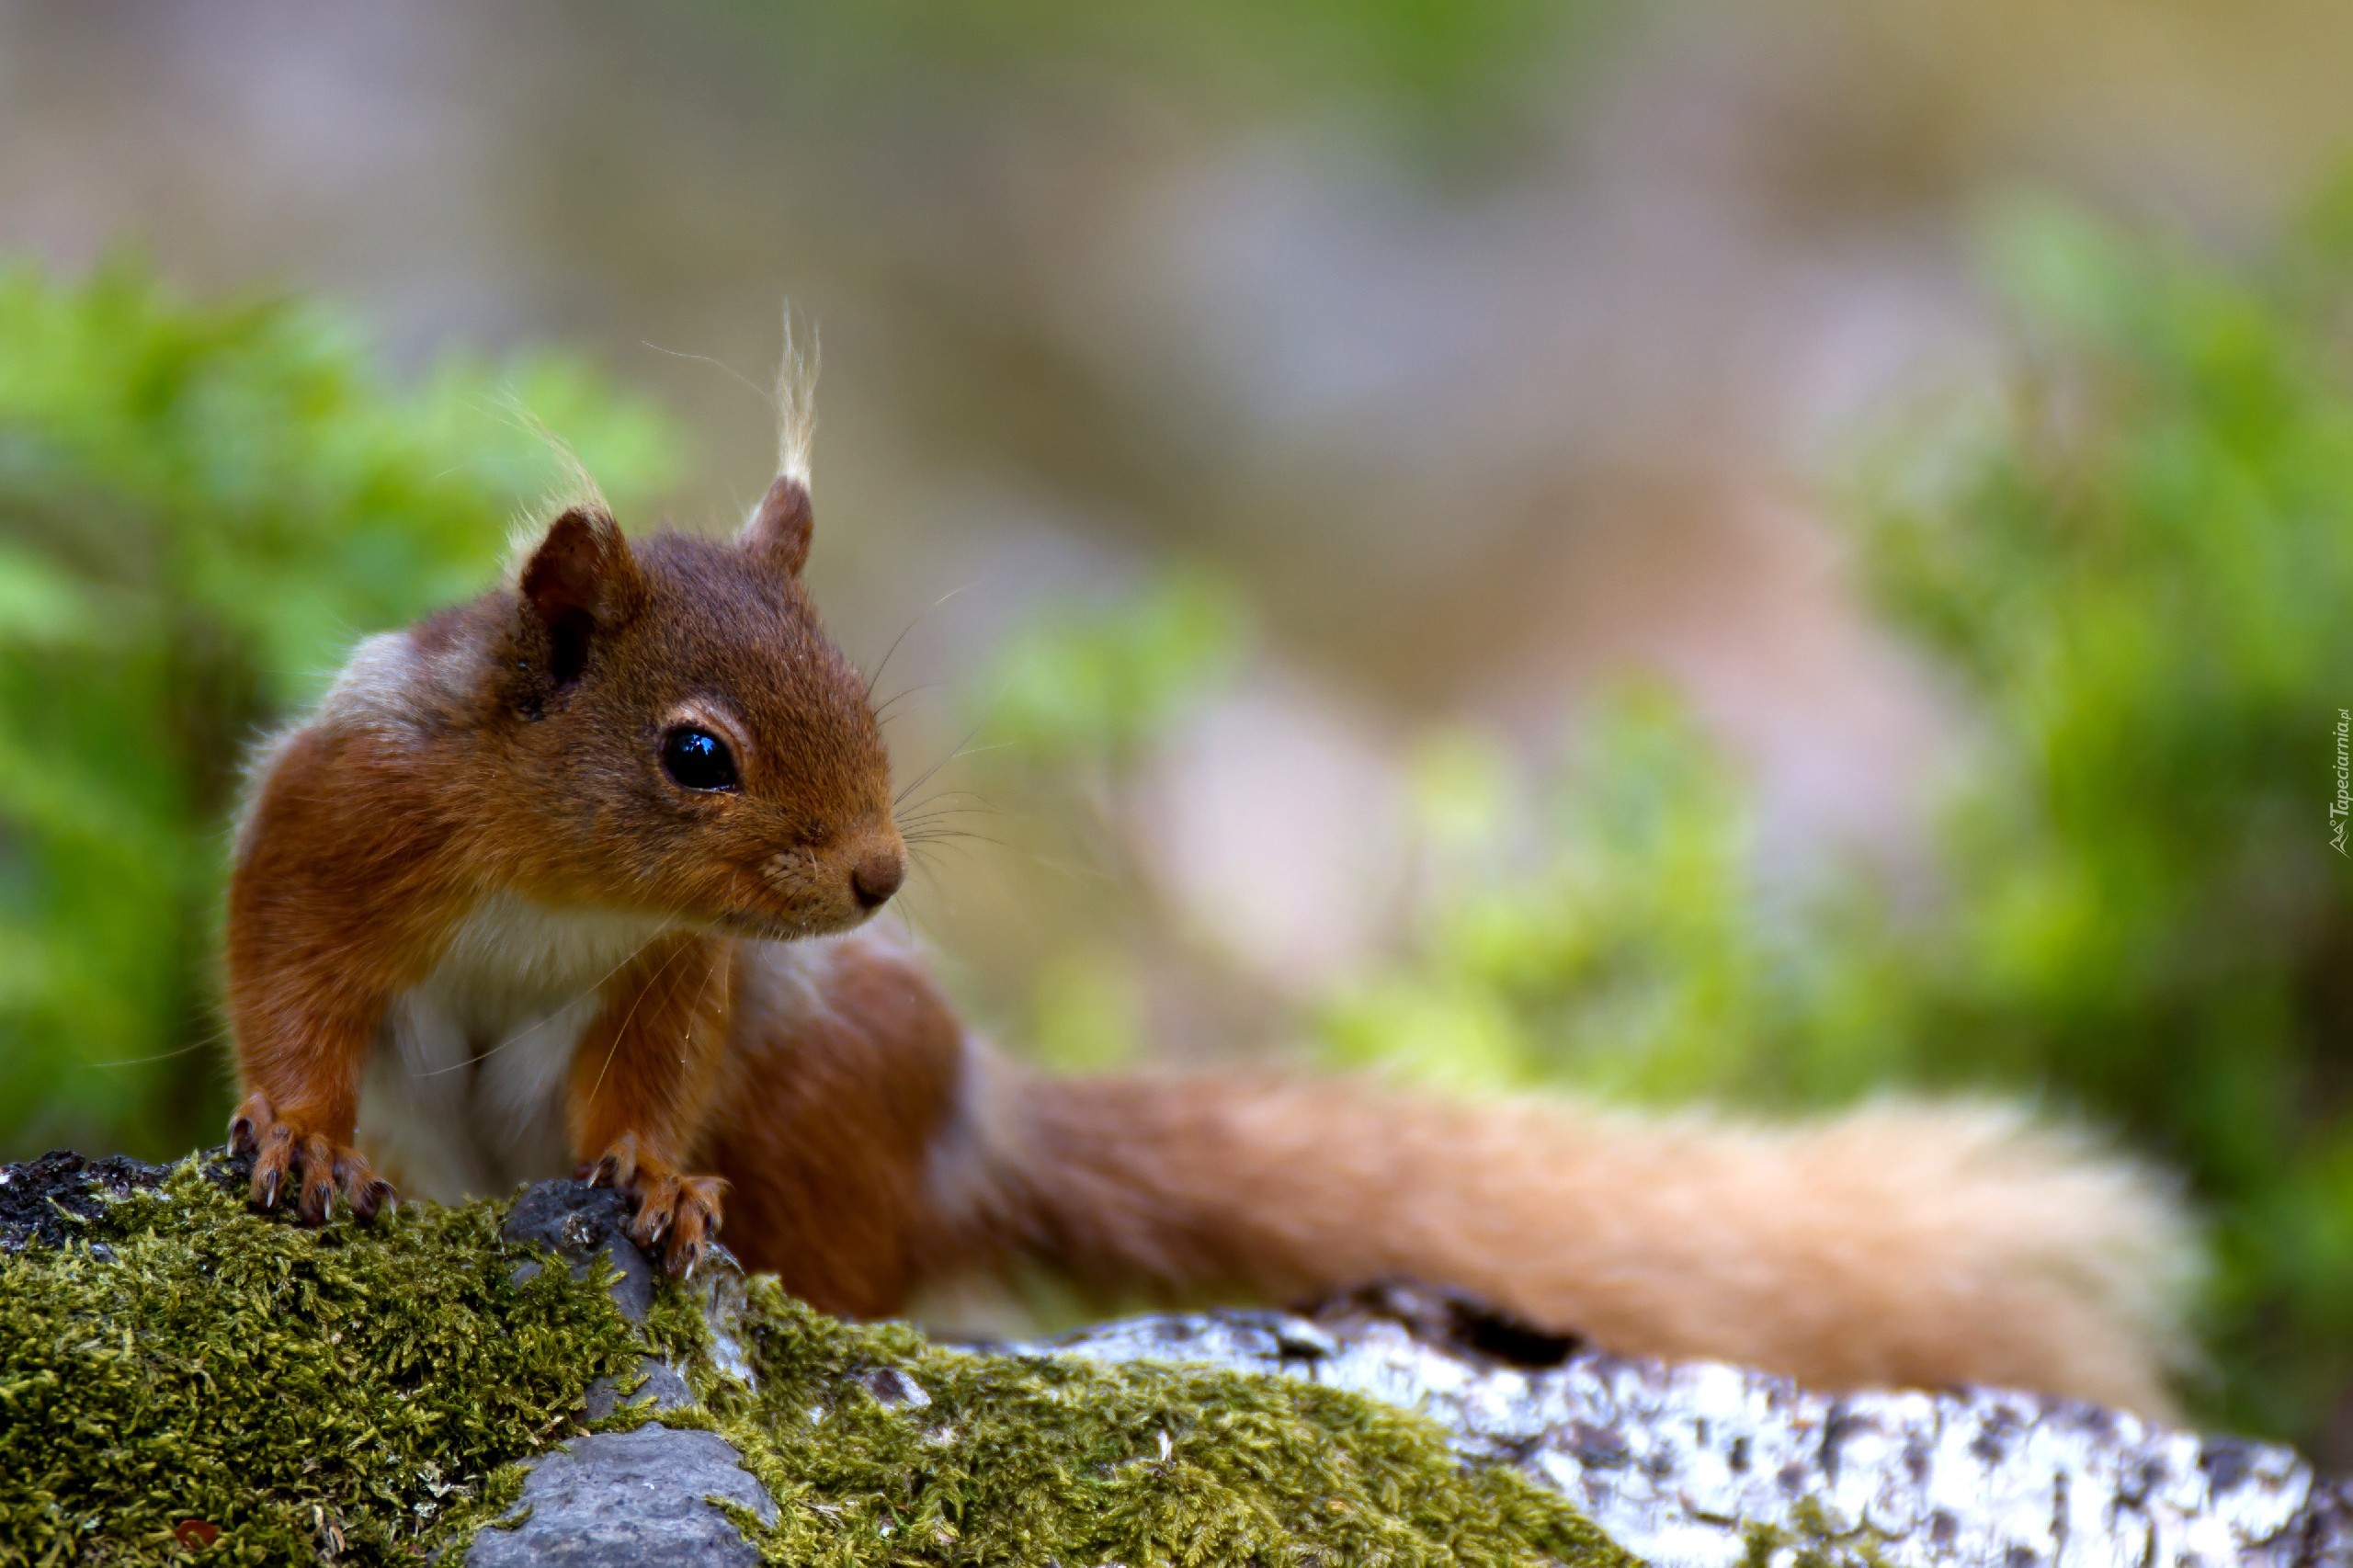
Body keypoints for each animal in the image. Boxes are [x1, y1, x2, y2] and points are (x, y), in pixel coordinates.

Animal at [221, 445, 2183, 1412]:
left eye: (862, 690)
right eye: (695, 753)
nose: (876, 880)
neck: (561, 889)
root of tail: (967, 1126)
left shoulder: (671, 978)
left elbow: (644, 1084)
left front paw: (651, 1184)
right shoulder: (337, 827)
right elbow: (289, 988)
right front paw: (300, 1148)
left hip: (831, 1091)